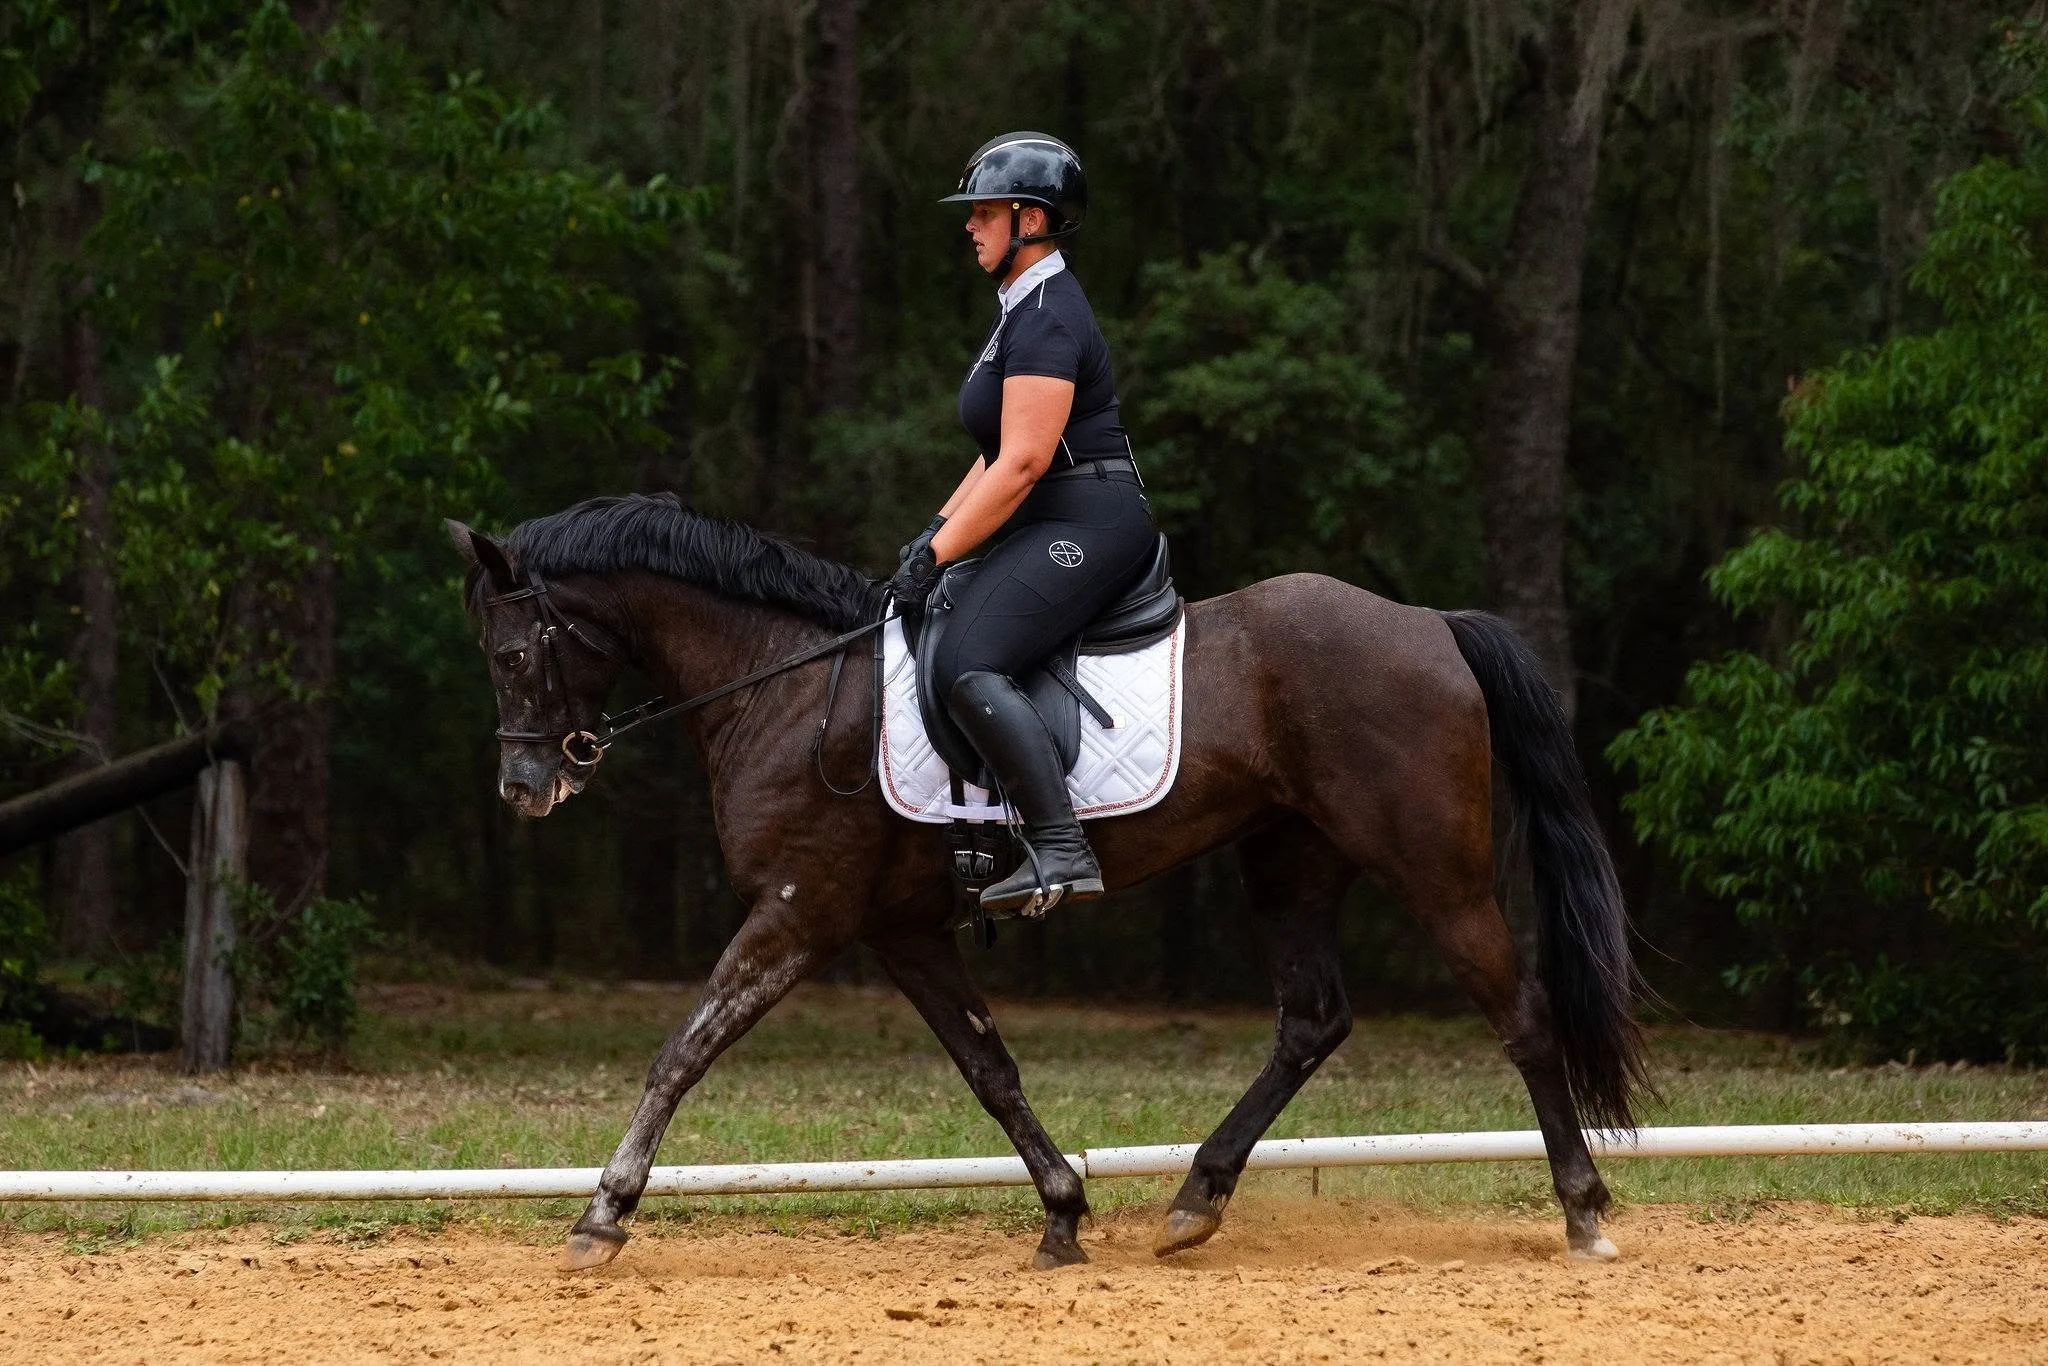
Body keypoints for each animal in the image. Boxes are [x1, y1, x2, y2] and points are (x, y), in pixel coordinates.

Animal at [448, 492, 1646, 1273]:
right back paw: (1194, 1201)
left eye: (509, 655)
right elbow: (991, 1069)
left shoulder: (799, 911)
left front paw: (602, 1215)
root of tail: (1428, 624)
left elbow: (684, 1048)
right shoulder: (901, 931)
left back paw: (1584, 1212)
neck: (784, 685)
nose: (521, 788)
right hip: (1288, 860)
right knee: (1311, 1021)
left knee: (1520, 1011)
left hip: (1431, 864)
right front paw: (1064, 1213)